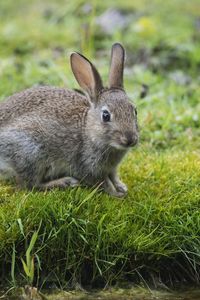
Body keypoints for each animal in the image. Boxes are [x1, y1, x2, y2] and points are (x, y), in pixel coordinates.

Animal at [0, 42, 138, 197]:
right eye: (106, 116)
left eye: (135, 111)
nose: (130, 139)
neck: (88, 131)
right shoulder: (88, 167)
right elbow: (103, 182)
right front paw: (116, 194)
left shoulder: (111, 168)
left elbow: (114, 176)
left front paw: (122, 187)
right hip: (30, 153)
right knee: (30, 185)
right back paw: (65, 182)